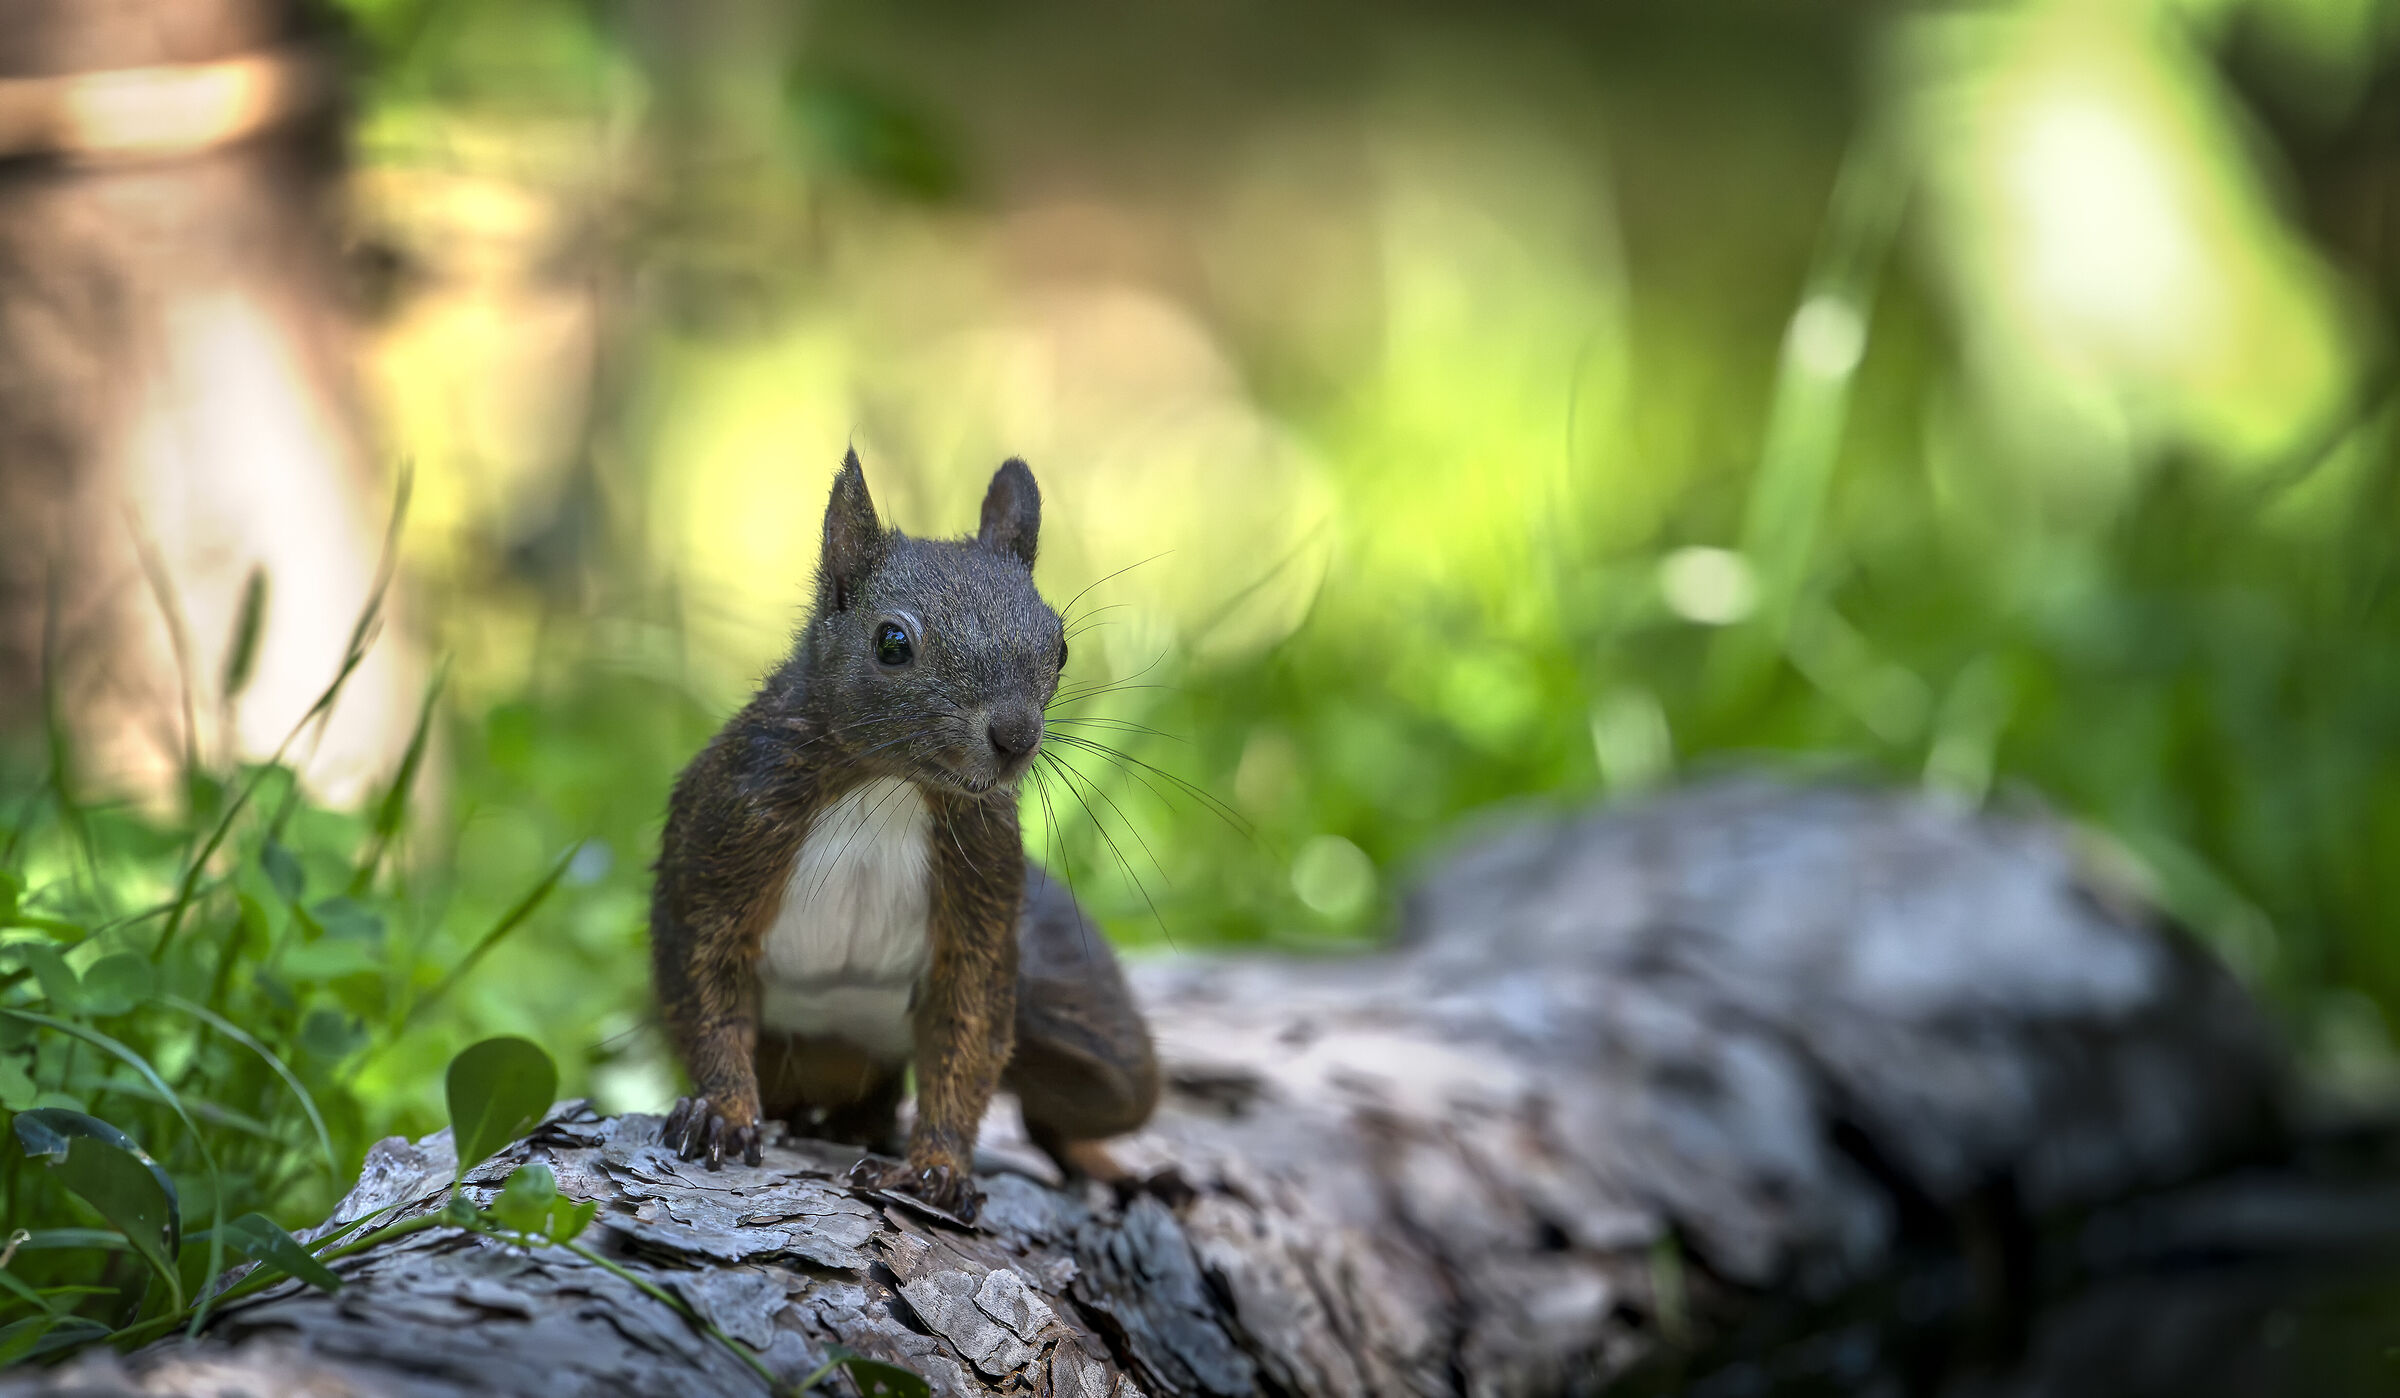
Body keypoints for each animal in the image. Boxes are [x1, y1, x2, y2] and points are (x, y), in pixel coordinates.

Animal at [648, 450, 1160, 1222]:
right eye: (891, 643)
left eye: (1061, 646)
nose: (1016, 737)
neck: (886, 788)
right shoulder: (729, 826)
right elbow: (707, 986)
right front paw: (723, 1111)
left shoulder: (985, 888)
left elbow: (968, 1031)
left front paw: (937, 1168)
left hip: (1103, 1046)